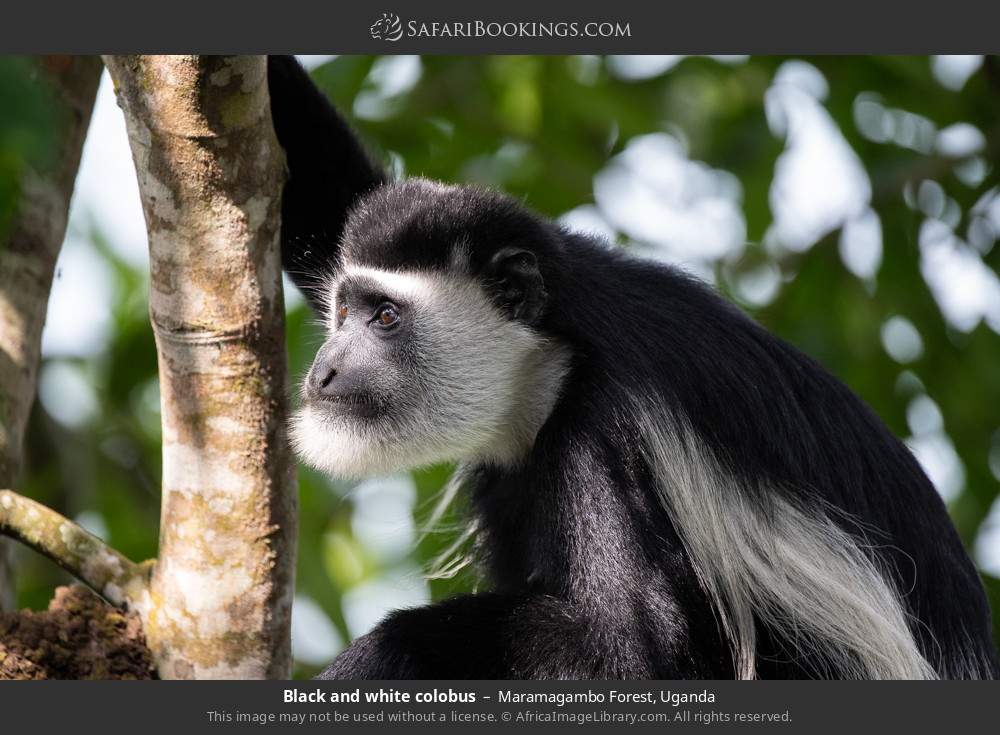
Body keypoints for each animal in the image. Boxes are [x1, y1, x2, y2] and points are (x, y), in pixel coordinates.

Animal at [268, 54, 1000, 680]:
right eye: (342, 307)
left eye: (386, 318)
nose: (324, 372)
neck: (554, 363)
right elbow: (325, 198)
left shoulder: (609, 435)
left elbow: (630, 651)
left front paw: (377, 653)